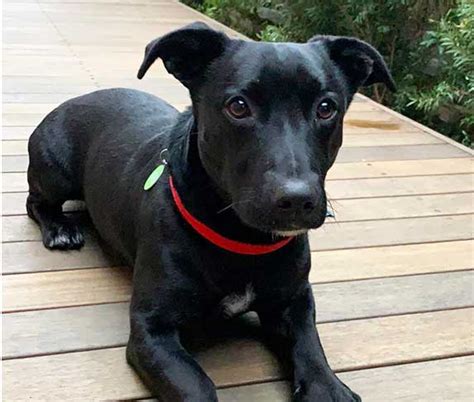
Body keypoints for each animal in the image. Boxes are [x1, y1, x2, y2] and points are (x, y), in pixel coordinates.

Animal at [27, 22, 394, 402]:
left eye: (326, 108)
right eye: (238, 106)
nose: (296, 199)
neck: (243, 240)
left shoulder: (294, 299)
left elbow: (309, 347)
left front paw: (327, 387)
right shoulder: (152, 331)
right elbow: (197, 384)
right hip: (56, 172)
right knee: (35, 202)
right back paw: (59, 229)